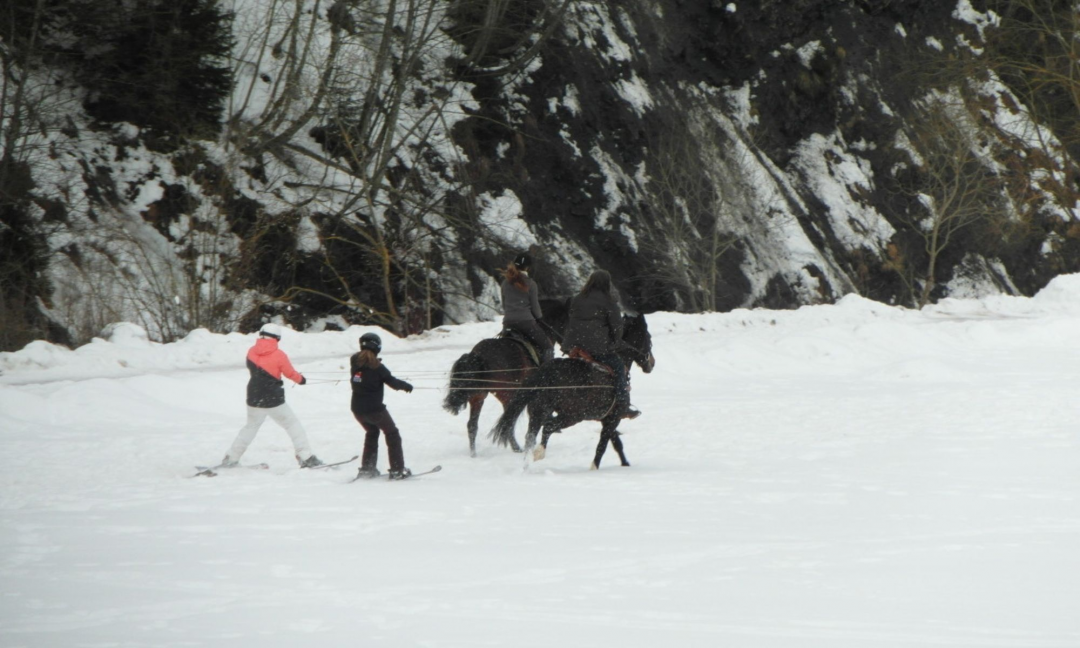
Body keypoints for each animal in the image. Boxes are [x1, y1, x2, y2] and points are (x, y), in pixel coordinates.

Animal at [440, 298, 570, 455]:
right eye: (567, 320)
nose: (567, 347)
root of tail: (477, 355)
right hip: (507, 395)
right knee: (508, 421)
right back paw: (517, 448)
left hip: (478, 396)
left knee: (472, 425)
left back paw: (474, 454)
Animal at [492, 311, 656, 468]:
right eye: (648, 336)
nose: (652, 363)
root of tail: (547, 371)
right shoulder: (613, 418)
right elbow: (603, 446)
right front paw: (595, 467)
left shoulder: (606, 417)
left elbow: (616, 443)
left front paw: (625, 464)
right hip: (572, 416)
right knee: (548, 427)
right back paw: (539, 453)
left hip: (539, 410)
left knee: (531, 437)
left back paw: (527, 464)